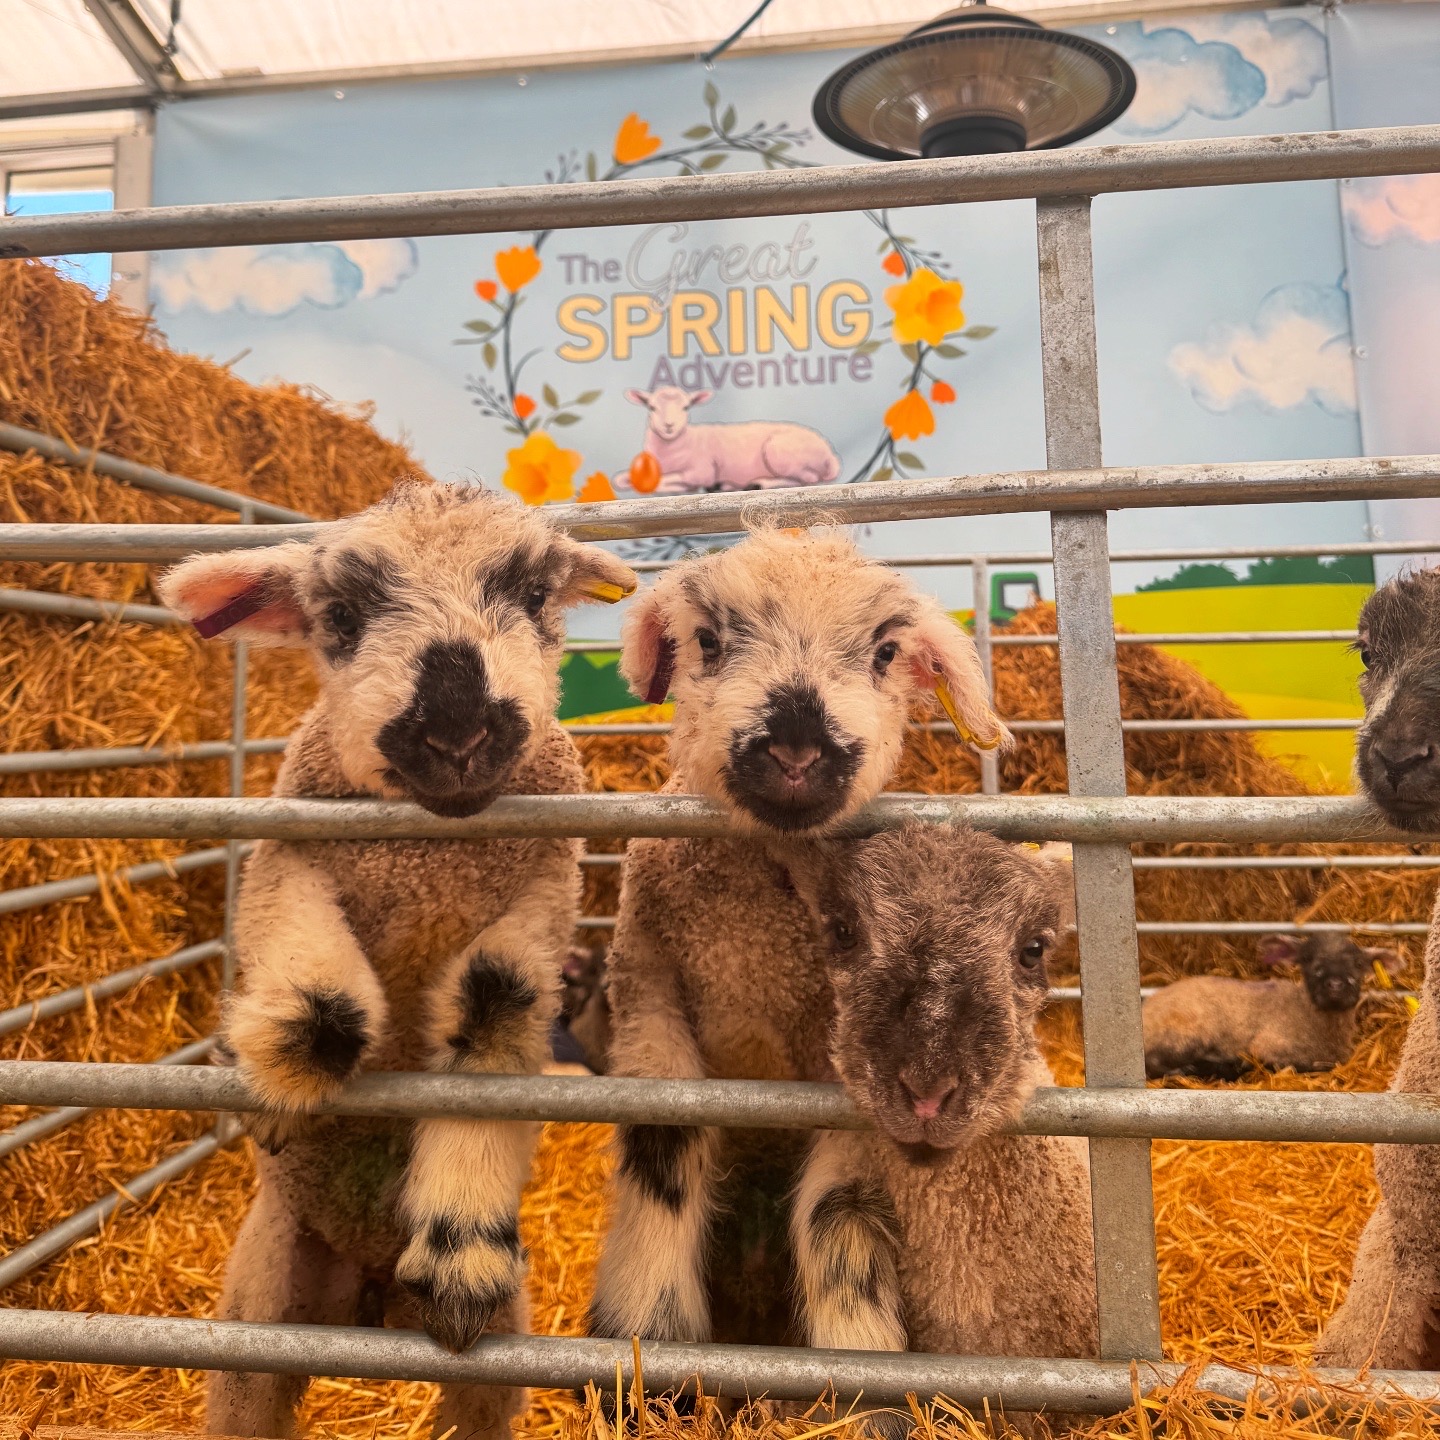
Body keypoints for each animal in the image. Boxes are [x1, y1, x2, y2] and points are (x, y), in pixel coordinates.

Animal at [158, 480, 637, 1438]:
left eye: (535, 595)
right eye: (340, 616)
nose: (456, 730)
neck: (428, 860)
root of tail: (369, 1299)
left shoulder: (539, 899)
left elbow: (491, 1017)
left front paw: (459, 1248)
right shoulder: (289, 864)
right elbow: (322, 1001)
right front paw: (280, 1087)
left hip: (501, 1351)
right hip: (259, 1307)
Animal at [587, 526, 1007, 1366]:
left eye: (885, 652)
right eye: (709, 641)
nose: (796, 750)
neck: (753, 953)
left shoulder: (849, 1058)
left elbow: (835, 1208)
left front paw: (857, 1354)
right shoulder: (649, 995)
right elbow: (663, 1152)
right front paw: (649, 1334)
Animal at [621, 387, 842, 494]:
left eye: (686, 407)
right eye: (651, 407)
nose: (669, 426)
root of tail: (830, 453)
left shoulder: (701, 471)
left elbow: (663, 481)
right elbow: (623, 480)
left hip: (779, 451)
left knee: (808, 479)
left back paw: (759, 483)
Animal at [1142, 933, 1400, 1080]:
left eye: (1358, 963)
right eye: (1308, 959)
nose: (1335, 985)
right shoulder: (1268, 1047)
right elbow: (1309, 1065)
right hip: (1186, 1033)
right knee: (1154, 1063)